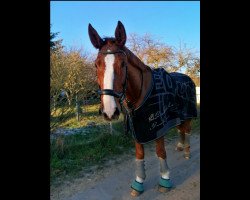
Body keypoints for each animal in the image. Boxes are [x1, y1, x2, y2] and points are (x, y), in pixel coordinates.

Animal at [88, 20, 197, 197]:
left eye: (123, 63)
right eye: (96, 64)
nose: (110, 112)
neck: (140, 93)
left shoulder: (158, 126)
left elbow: (160, 152)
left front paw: (165, 180)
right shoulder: (137, 128)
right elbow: (139, 154)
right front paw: (138, 183)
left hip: (187, 113)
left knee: (186, 129)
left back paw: (187, 150)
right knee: (180, 128)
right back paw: (181, 146)